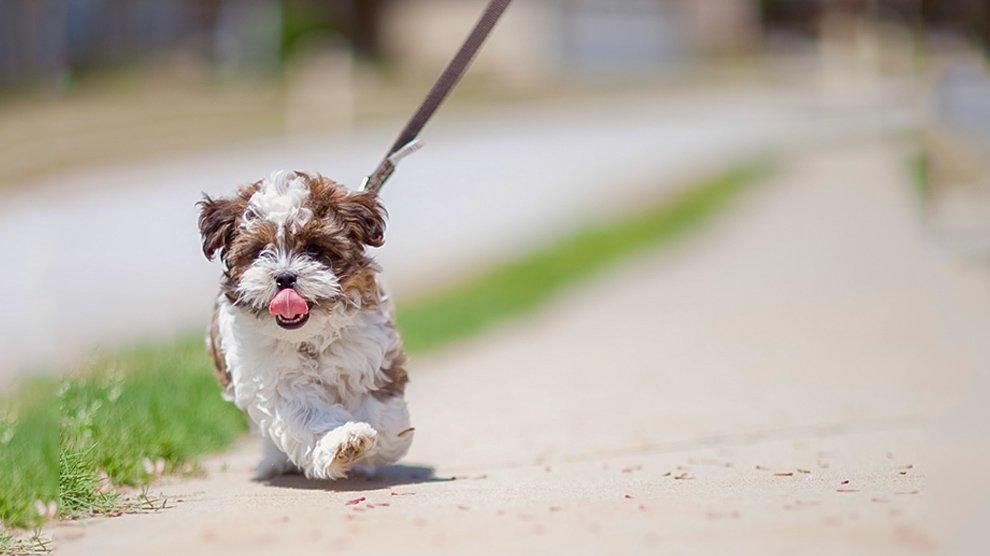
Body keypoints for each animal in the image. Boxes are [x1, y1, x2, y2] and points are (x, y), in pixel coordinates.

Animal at [198, 172, 414, 480]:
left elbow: (383, 413)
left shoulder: (370, 355)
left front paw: (382, 442)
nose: (285, 277)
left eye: (314, 248)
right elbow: (305, 413)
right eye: (259, 251)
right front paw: (343, 441)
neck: (307, 337)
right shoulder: (273, 380)